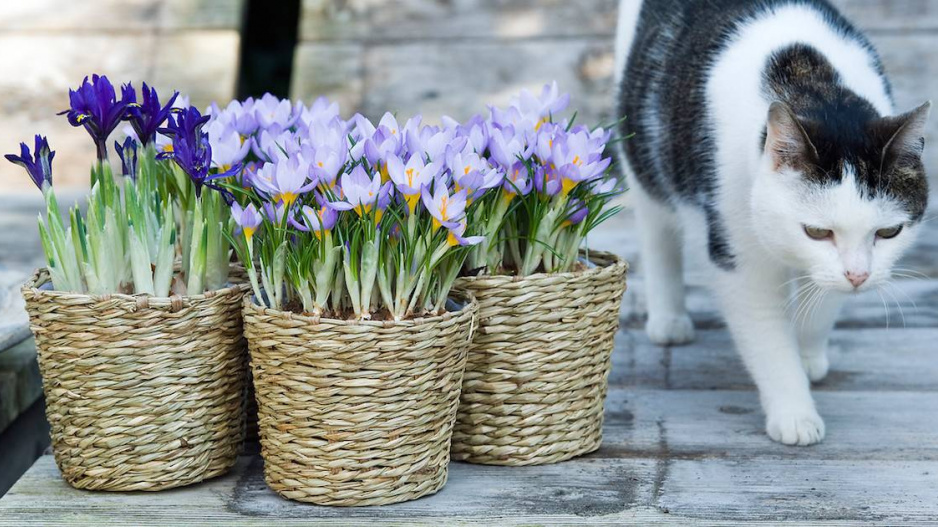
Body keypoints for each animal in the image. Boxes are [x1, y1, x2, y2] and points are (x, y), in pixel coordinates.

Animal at [616, 0, 928, 446]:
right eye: (817, 232)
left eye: (888, 232)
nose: (859, 276)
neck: (813, 83)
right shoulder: (740, 260)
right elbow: (767, 338)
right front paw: (795, 411)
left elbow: (823, 304)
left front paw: (808, 352)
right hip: (644, 156)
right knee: (658, 233)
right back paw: (669, 318)